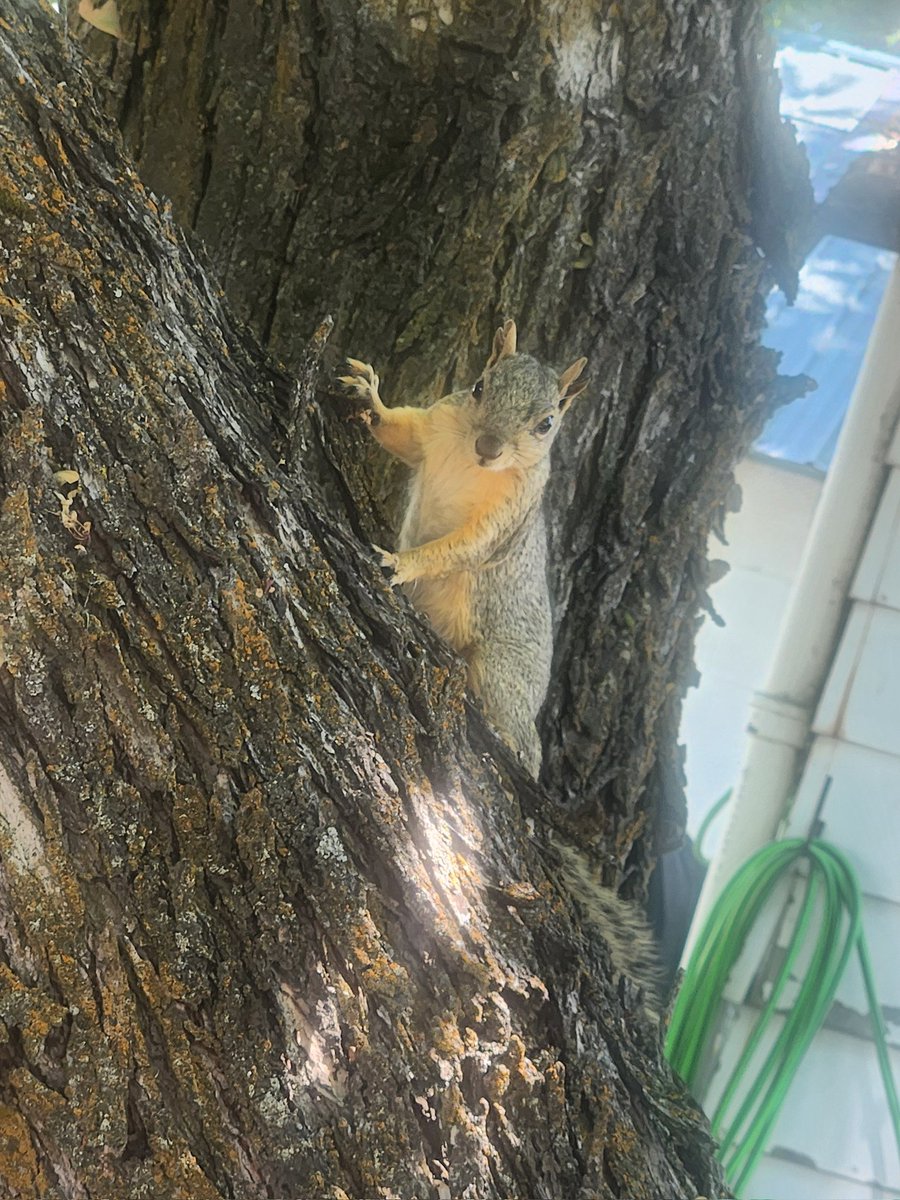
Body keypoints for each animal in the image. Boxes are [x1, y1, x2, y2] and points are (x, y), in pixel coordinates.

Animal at [340, 320, 662, 1012]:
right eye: (481, 385)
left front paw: (401, 564)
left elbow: (456, 550)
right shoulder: (431, 430)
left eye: (547, 424)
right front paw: (368, 394)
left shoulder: (503, 520)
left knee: (514, 737)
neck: (469, 461)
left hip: (497, 673)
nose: (489, 446)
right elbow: (397, 432)